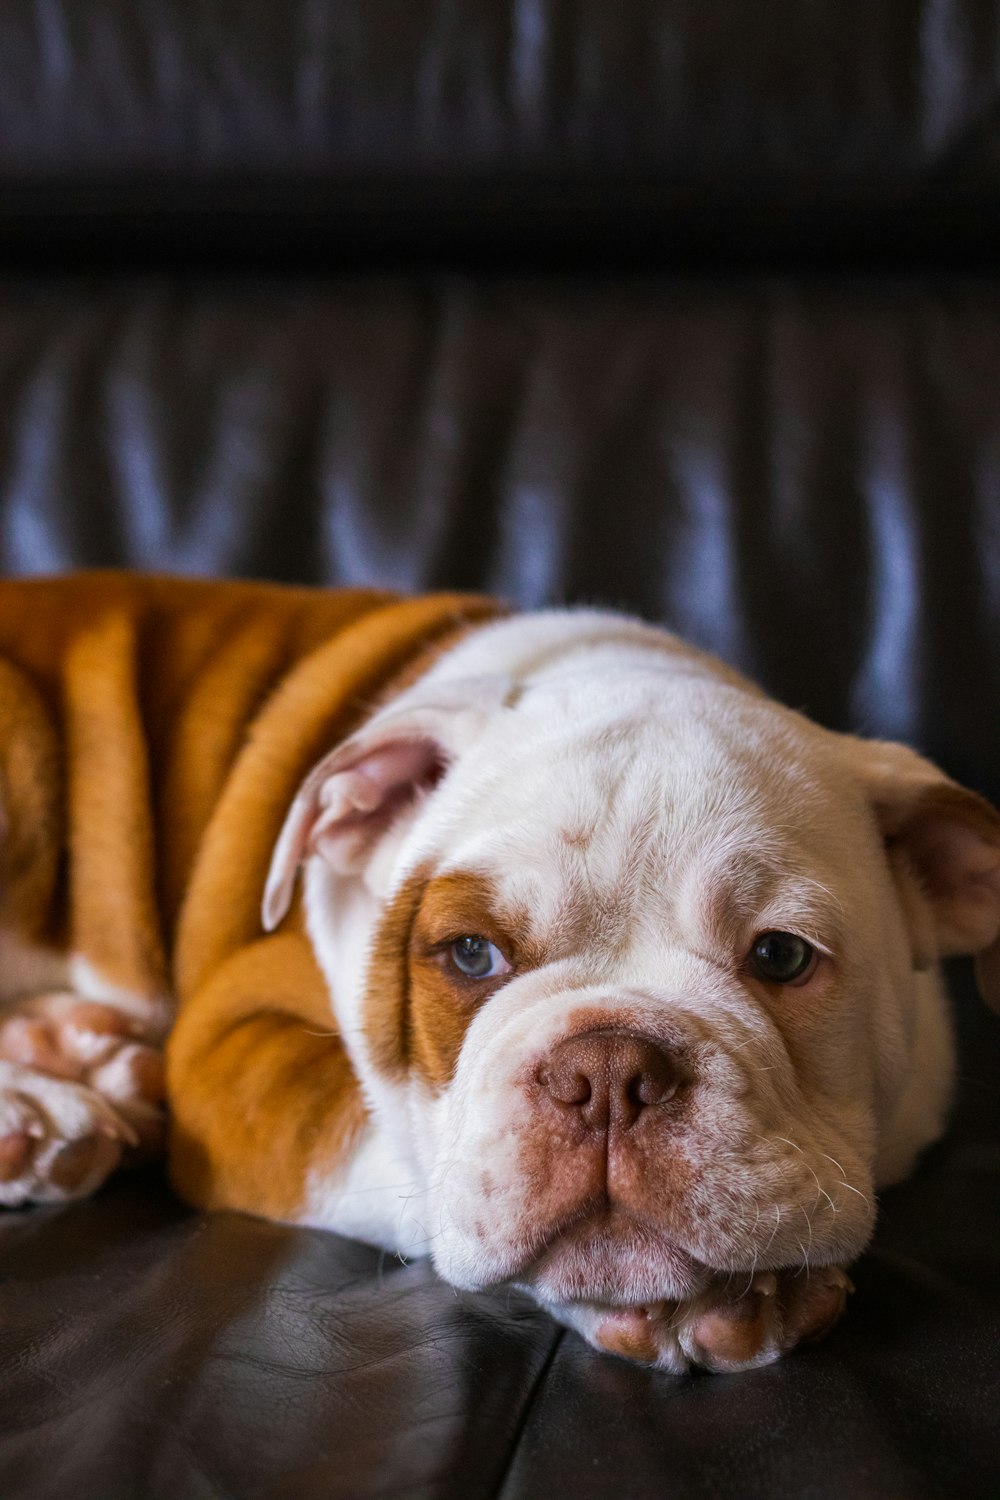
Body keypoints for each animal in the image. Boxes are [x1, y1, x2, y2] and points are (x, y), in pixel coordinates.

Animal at [1, 573, 1000, 1374]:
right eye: (472, 954)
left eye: (781, 955)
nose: (609, 1070)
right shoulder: (234, 1042)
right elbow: (394, 1155)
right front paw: (708, 1300)